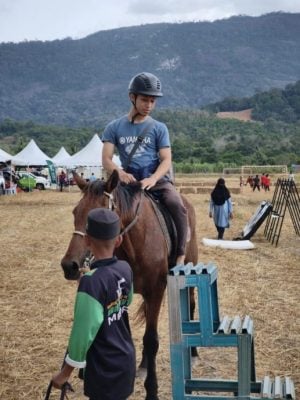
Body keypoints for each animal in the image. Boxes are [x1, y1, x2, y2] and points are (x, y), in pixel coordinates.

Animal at [61, 171, 198, 400]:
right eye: (75, 212)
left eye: (98, 217)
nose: (69, 266)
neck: (137, 240)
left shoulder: (156, 291)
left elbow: (151, 340)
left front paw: (152, 391)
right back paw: (143, 365)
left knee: (192, 303)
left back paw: (194, 351)